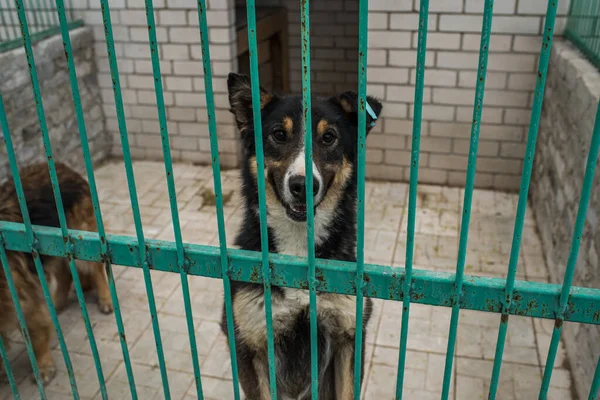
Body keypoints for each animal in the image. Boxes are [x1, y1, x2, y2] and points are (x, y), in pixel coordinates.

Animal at [0, 163, 112, 384]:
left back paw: (105, 299)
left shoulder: (23, 298)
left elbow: (37, 333)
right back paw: (57, 303)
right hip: (55, 247)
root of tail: (58, 165)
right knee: (64, 275)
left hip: (79, 239)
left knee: (95, 271)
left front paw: (43, 366)